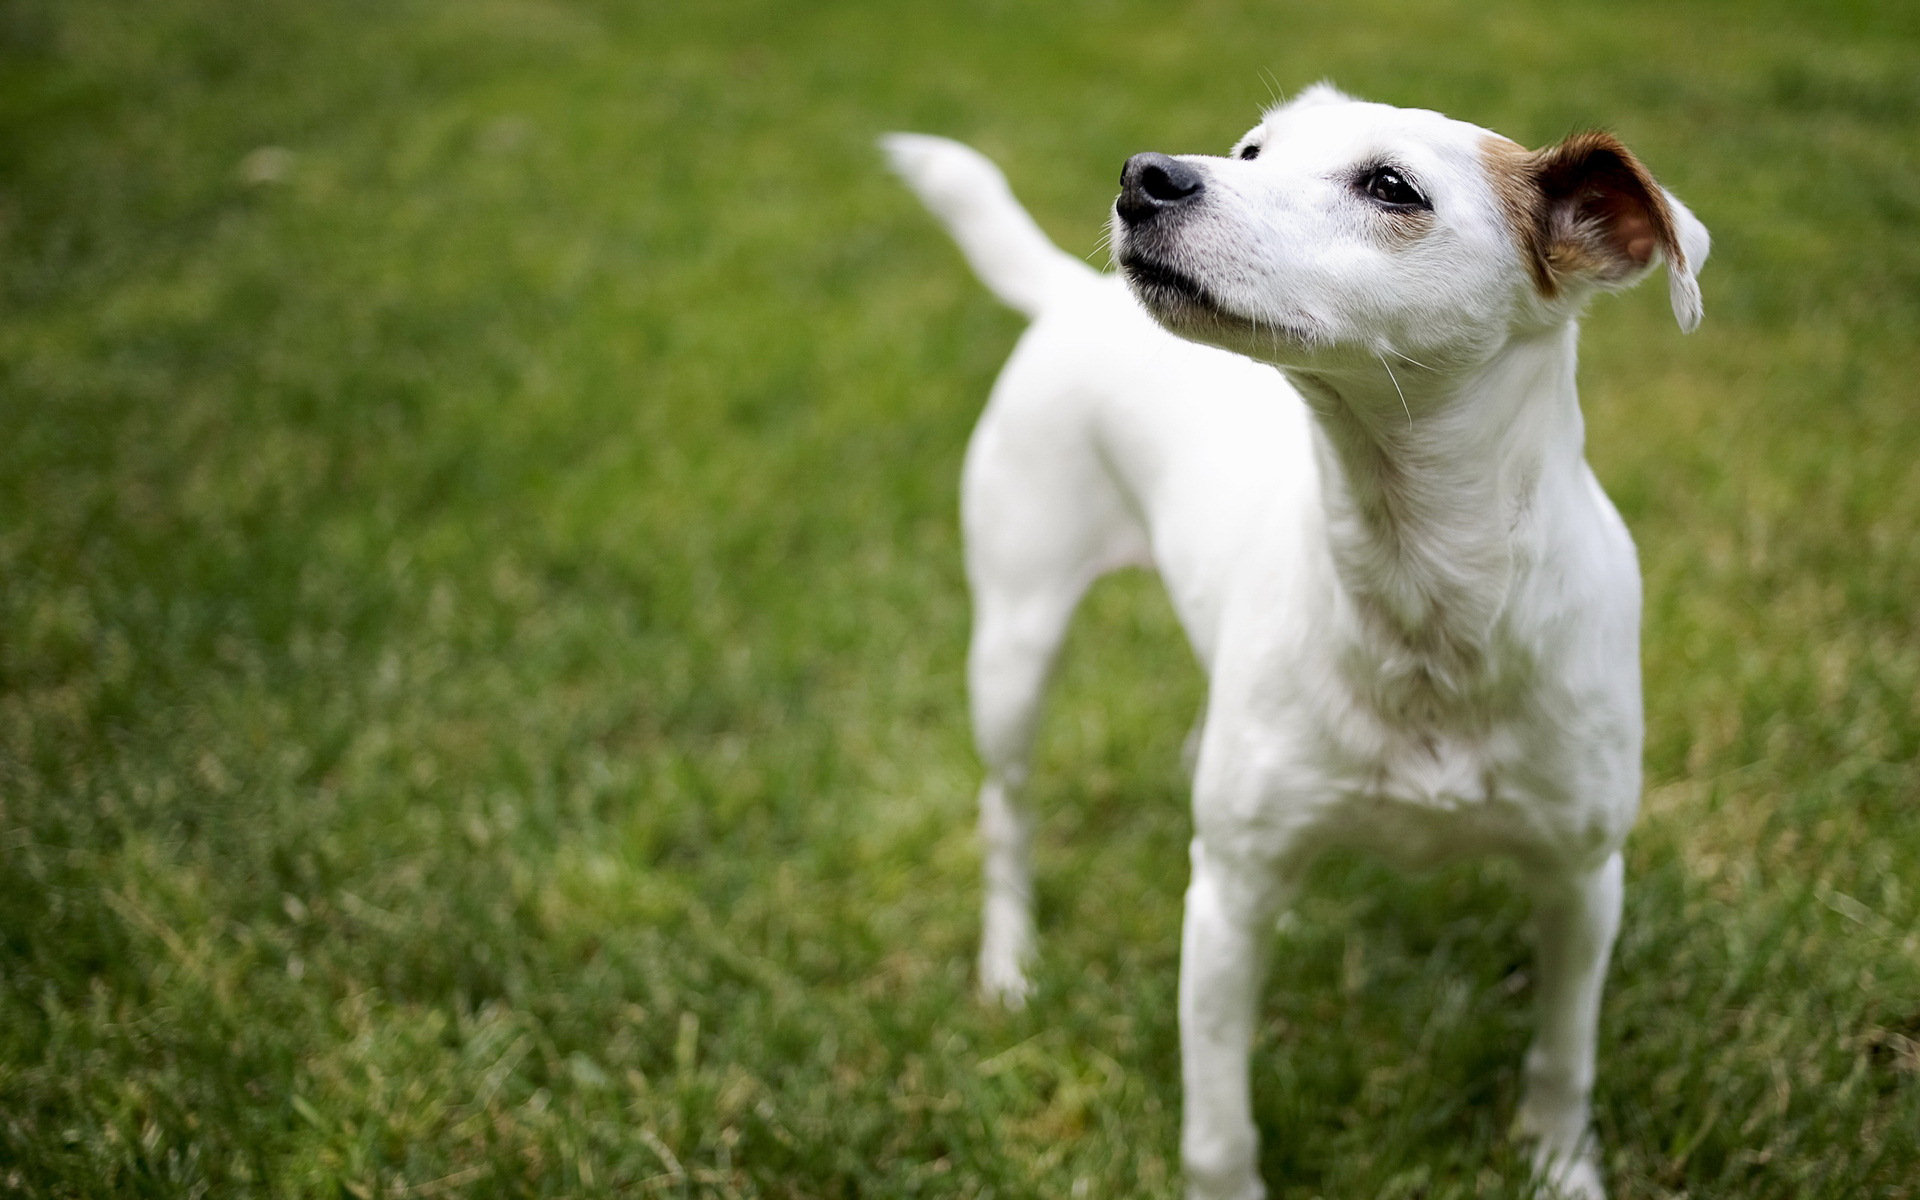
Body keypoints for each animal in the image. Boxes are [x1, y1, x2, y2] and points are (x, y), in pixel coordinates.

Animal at [879, 86, 1704, 1198]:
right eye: (1251, 151)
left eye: (1392, 187)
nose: (1146, 176)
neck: (1421, 589)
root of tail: (1071, 295)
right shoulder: (1227, 903)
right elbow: (1218, 1123)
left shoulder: (1583, 882)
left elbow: (1563, 1057)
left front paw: (1559, 1165)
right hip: (1015, 644)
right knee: (1005, 812)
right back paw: (1009, 965)